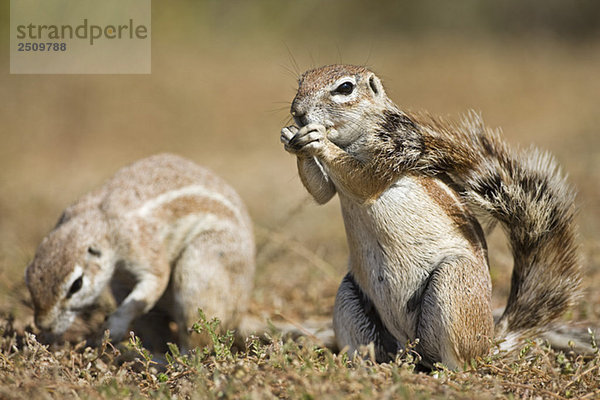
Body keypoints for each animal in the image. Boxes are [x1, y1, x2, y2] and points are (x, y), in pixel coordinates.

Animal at [25, 153, 255, 350]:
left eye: (76, 285)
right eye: (27, 278)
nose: (43, 325)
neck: (100, 219)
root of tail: (241, 311)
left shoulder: (141, 245)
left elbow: (156, 279)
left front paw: (110, 330)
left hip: (199, 271)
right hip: (120, 286)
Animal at [280, 64, 580, 368]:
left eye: (345, 88)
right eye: (301, 81)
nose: (298, 111)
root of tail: (489, 343)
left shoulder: (387, 157)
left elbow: (361, 181)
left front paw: (317, 140)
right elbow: (322, 193)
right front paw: (291, 137)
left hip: (454, 282)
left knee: (458, 360)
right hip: (348, 297)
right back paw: (367, 366)